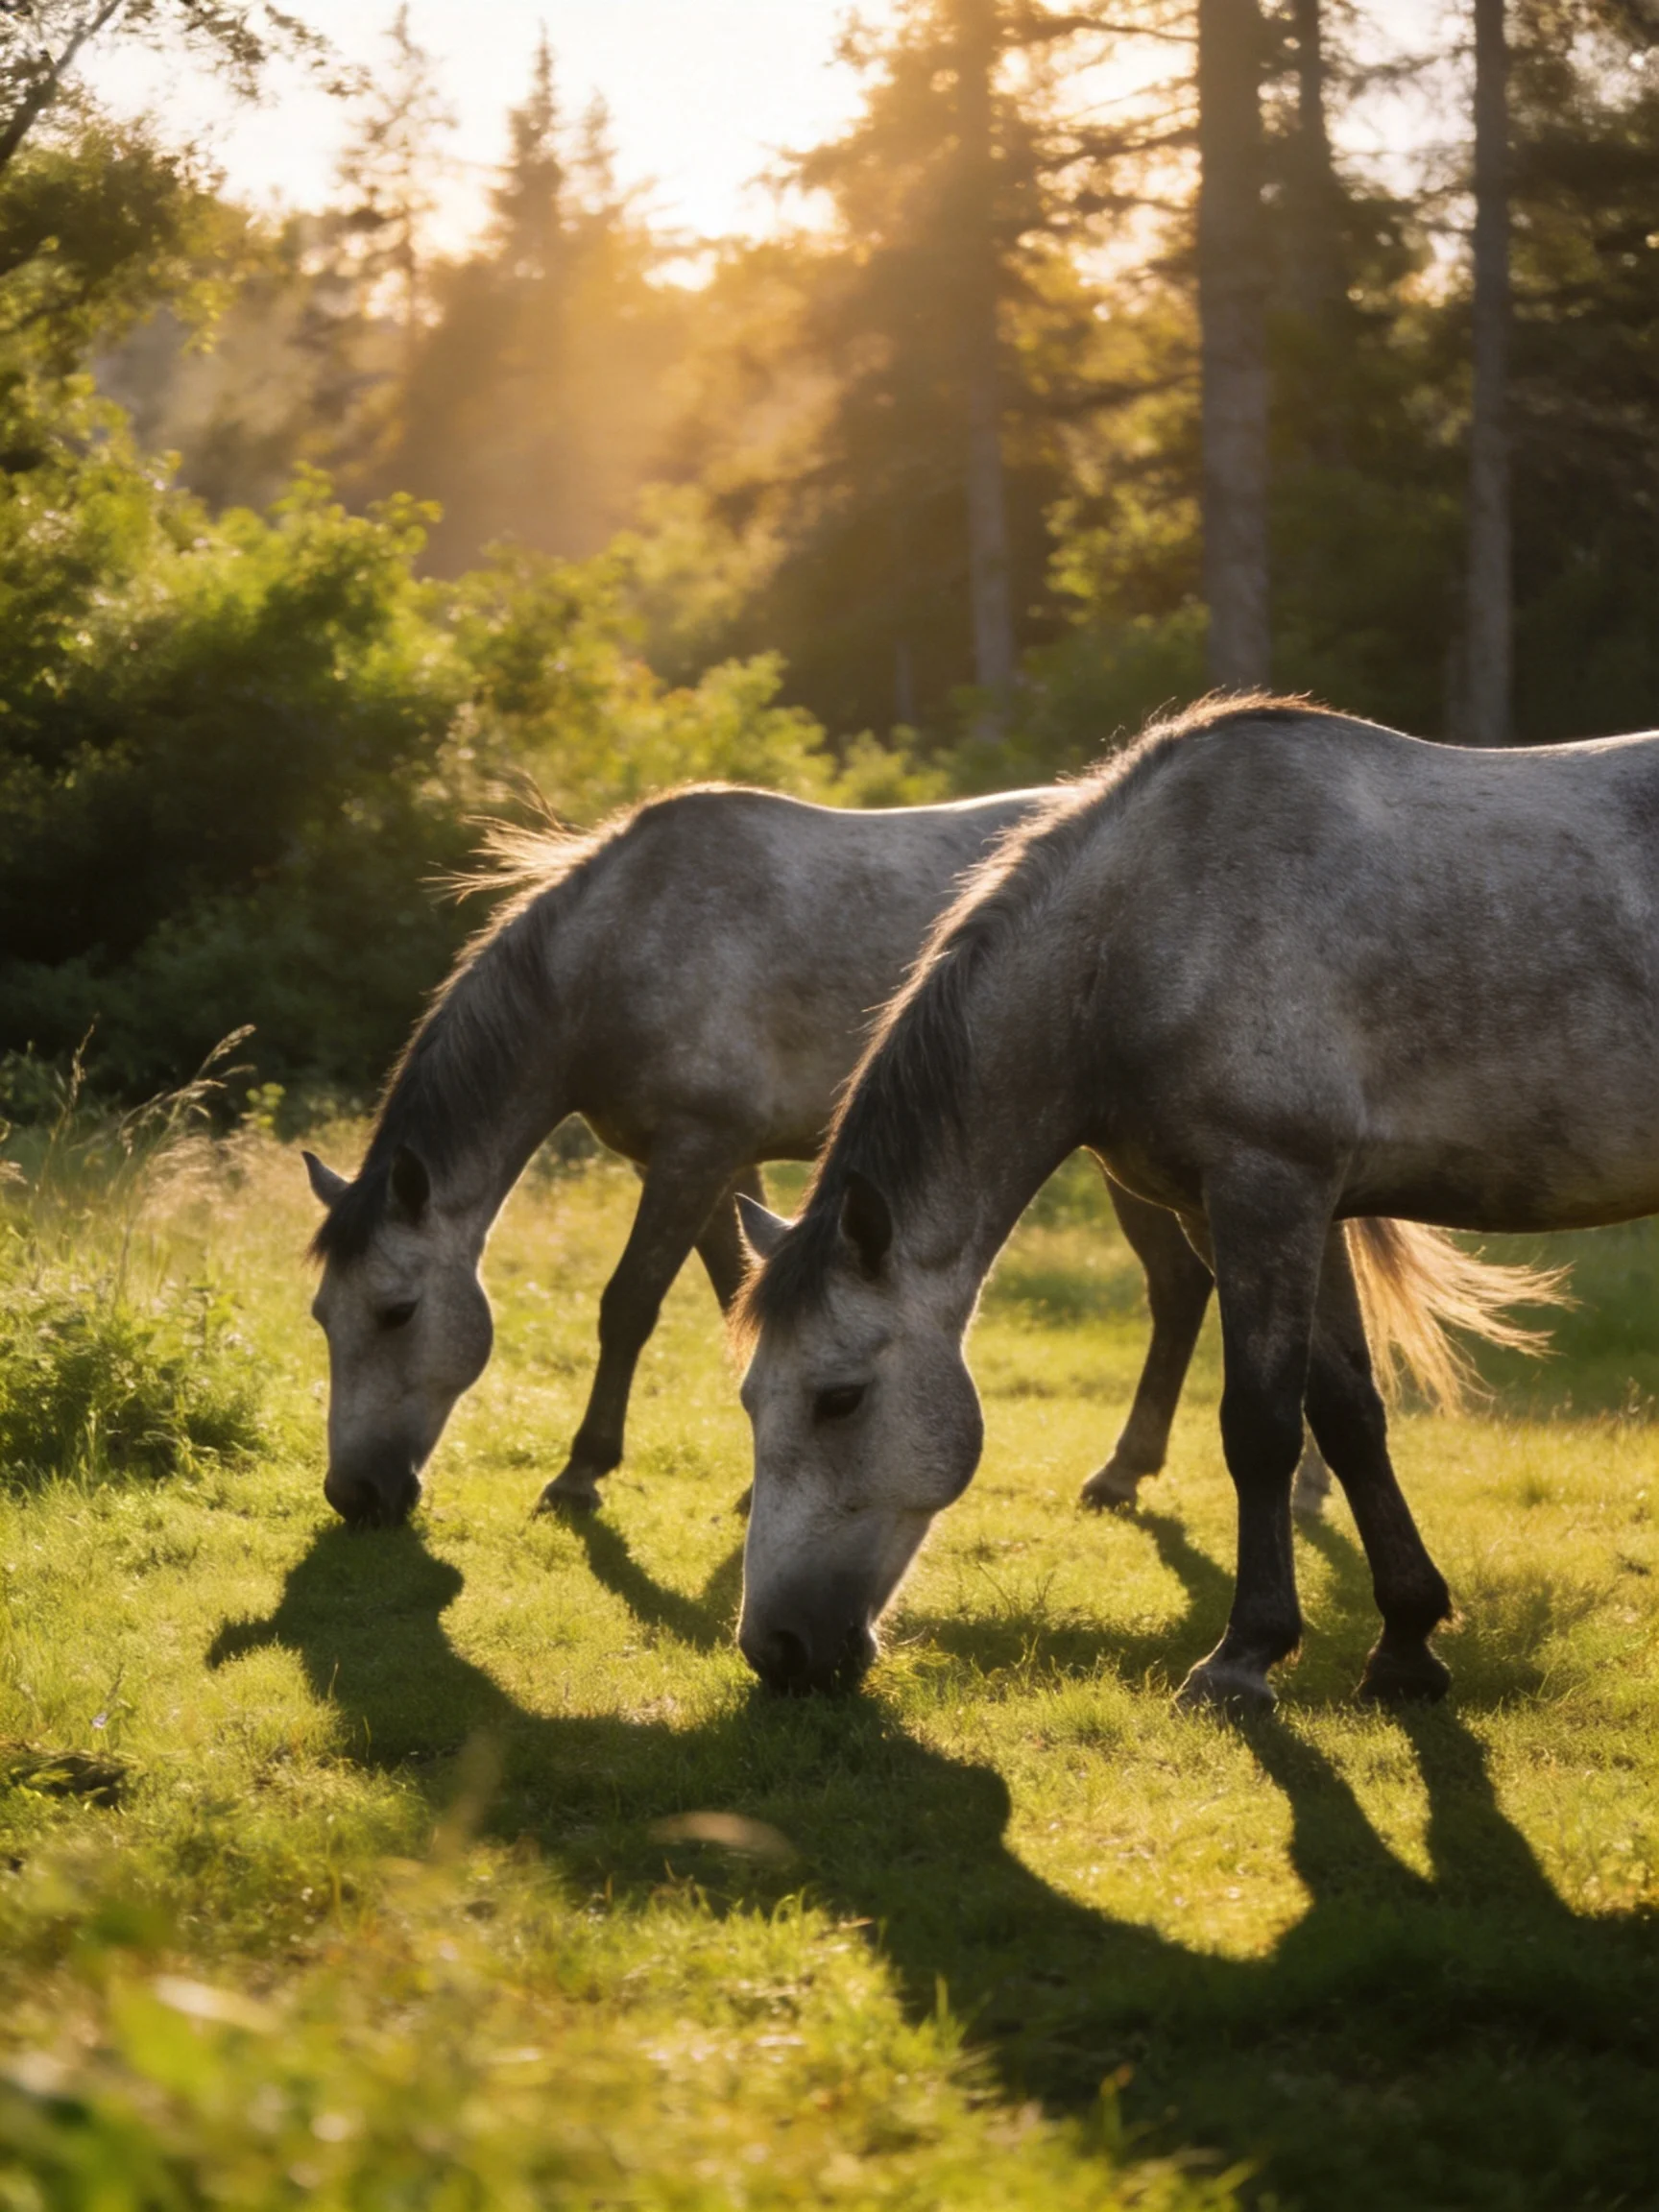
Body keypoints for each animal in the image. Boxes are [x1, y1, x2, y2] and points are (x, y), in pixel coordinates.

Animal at [304, 780, 1312, 1528]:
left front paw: (580, 1475)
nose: (354, 1494)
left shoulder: (695, 1153)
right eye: (320, 1316)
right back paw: (1135, 1473)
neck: (624, 943)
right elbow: (736, 1302)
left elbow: (629, 1304)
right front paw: (757, 1480)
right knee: (1181, 1287)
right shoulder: (718, 1168)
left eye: (395, 1312)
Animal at [733, 697, 1598, 1711]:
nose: (774, 1648)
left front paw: (1245, 1656)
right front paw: (1407, 1641)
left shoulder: (1268, 1189)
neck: (1144, 935)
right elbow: (1347, 1413)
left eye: (838, 1399)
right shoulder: (1266, 1208)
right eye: (750, 1399)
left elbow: (1261, 1424)